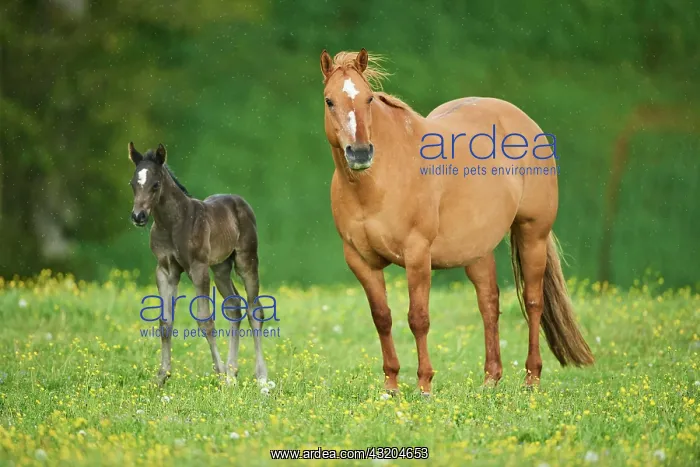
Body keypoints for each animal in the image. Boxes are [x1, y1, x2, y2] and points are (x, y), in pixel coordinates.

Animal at [128, 142, 268, 386]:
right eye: (133, 183)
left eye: (156, 185)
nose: (138, 216)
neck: (172, 223)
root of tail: (240, 202)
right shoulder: (165, 270)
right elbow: (165, 322)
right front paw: (162, 376)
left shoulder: (198, 268)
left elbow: (205, 321)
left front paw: (219, 373)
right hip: (220, 269)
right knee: (234, 307)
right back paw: (232, 373)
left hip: (246, 261)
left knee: (254, 311)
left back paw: (260, 377)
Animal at [319, 49, 594, 395]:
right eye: (329, 101)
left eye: (368, 98)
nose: (359, 153)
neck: (378, 181)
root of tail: (525, 123)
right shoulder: (360, 259)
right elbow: (382, 317)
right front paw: (391, 384)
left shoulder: (417, 254)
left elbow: (418, 318)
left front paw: (424, 384)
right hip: (477, 249)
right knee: (489, 303)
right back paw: (490, 379)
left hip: (533, 233)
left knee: (533, 302)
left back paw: (531, 378)